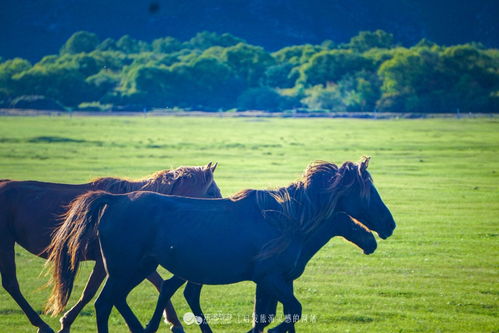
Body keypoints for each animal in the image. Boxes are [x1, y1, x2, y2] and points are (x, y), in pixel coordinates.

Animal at [0, 163, 221, 332]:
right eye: (212, 191)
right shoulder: (108, 262)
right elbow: (90, 293)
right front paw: (65, 323)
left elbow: (157, 283)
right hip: (6, 243)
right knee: (11, 284)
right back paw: (42, 325)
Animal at [48, 157, 396, 330]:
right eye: (369, 191)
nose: (389, 226)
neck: (286, 219)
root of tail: (114, 200)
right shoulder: (270, 278)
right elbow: (288, 313)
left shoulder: (273, 281)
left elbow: (270, 317)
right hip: (124, 270)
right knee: (104, 304)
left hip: (137, 269)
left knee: (116, 301)